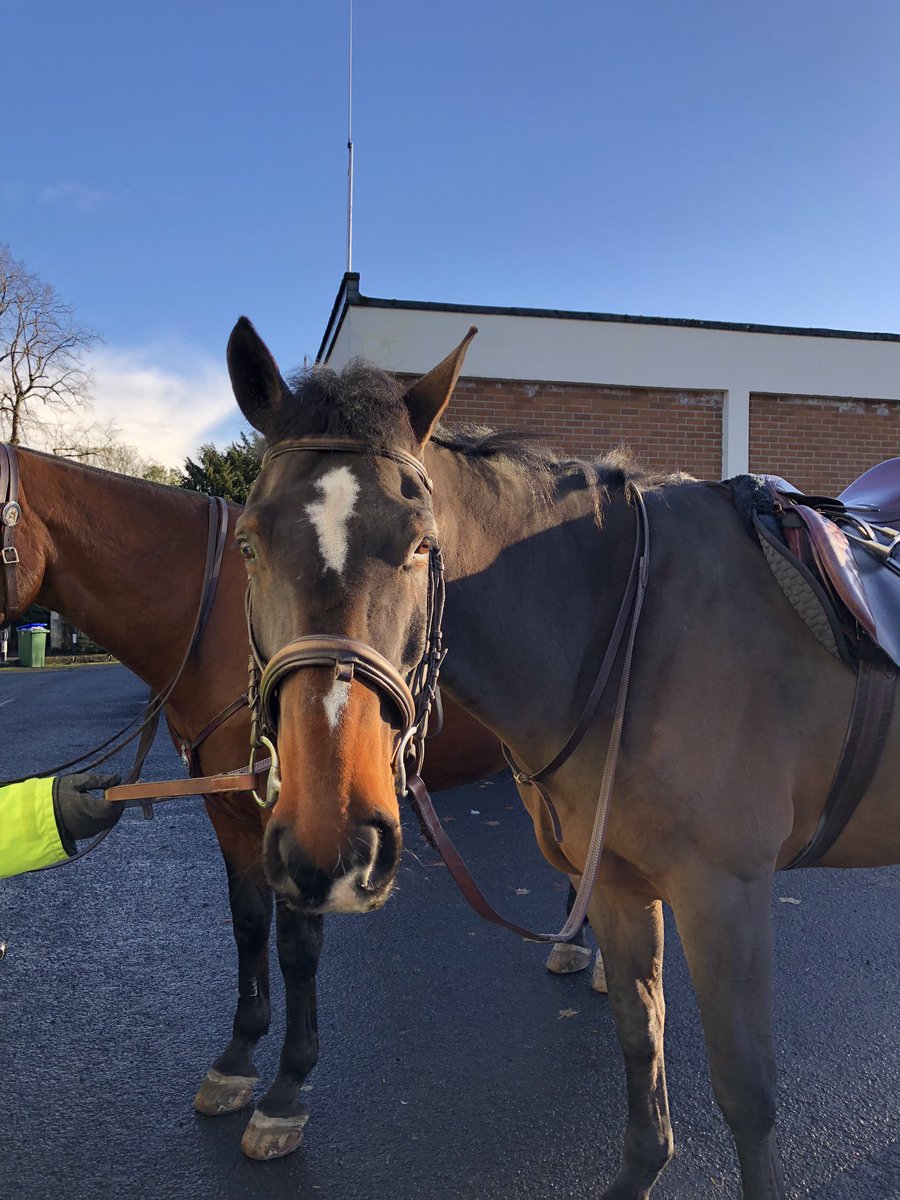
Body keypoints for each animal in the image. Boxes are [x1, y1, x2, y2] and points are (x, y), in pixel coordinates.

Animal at [1, 443, 517, 1160]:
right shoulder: (231, 811)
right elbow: (247, 924)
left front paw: (286, 1091)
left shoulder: (302, 814)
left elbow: (298, 945)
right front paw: (237, 1061)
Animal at [226, 315, 900, 1200]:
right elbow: (640, 1039)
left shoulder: (726, 892)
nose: (331, 843)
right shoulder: (614, 884)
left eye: (420, 545)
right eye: (248, 542)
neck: (633, 630)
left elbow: (746, 1092)